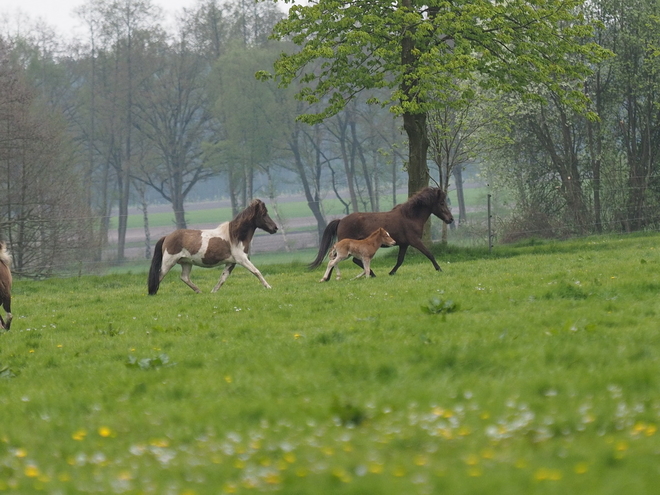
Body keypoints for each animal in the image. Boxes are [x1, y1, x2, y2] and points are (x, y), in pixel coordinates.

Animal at [148, 200, 278, 296]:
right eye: (263, 214)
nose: (275, 228)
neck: (235, 236)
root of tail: (167, 237)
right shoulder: (242, 260)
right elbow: (256, 272)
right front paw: (268, 286)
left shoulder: (231, 263)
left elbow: (223, 278)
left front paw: (213, 291)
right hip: (169, 262)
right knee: (159, 276)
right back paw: (153, 293)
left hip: (186, 263)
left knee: (184, 277)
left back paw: (199, 291)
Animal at [310, 188, 454, 278]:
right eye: (442, 203)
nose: (451, 219)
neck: (409, 217)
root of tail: (341, 220)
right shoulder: (415, 241)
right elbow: (429, 254)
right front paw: (439, 269)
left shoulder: (404, 244)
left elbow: (400, 260)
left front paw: (392, 273)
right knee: (341, 259)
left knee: (346, 260)